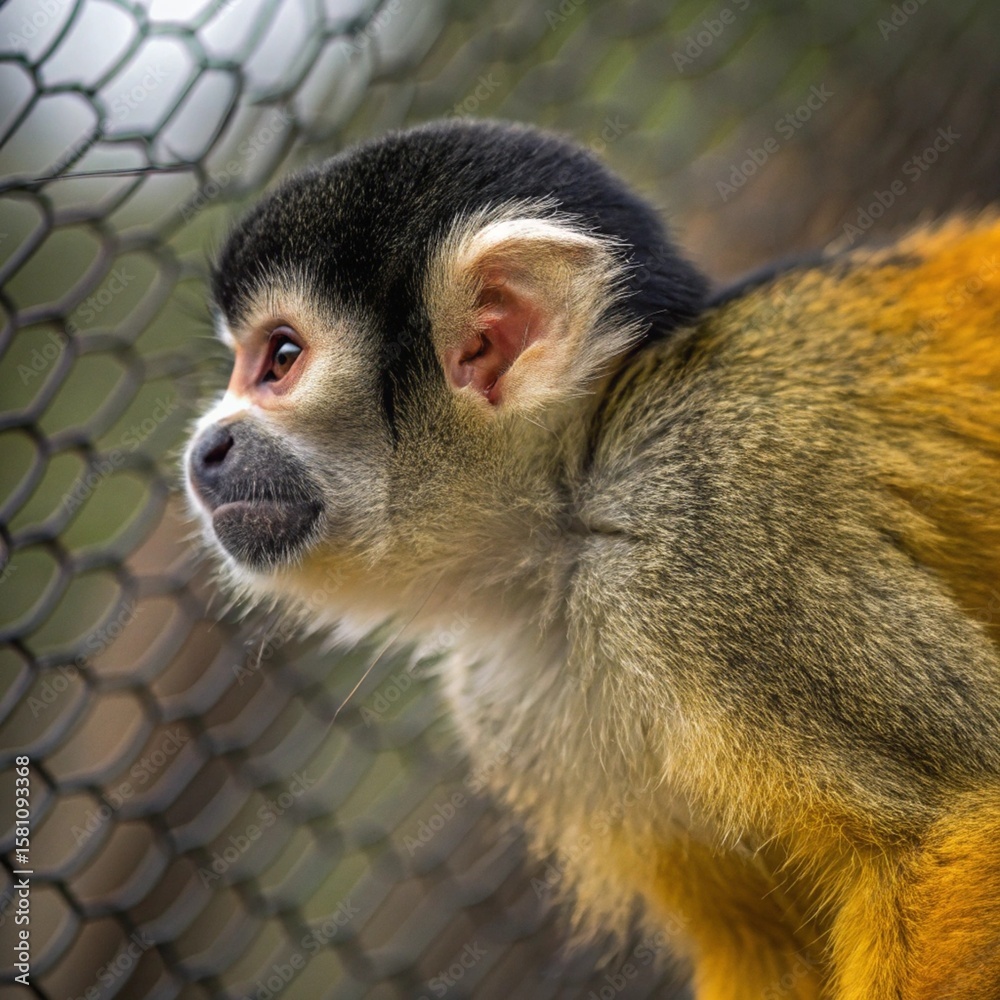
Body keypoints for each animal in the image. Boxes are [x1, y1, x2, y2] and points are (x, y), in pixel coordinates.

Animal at [184, 118, 1000, 999]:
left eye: (280, 357)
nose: (205, 452)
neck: (570, 522)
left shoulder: (714, 539)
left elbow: (952, 821)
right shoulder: (508, 703)